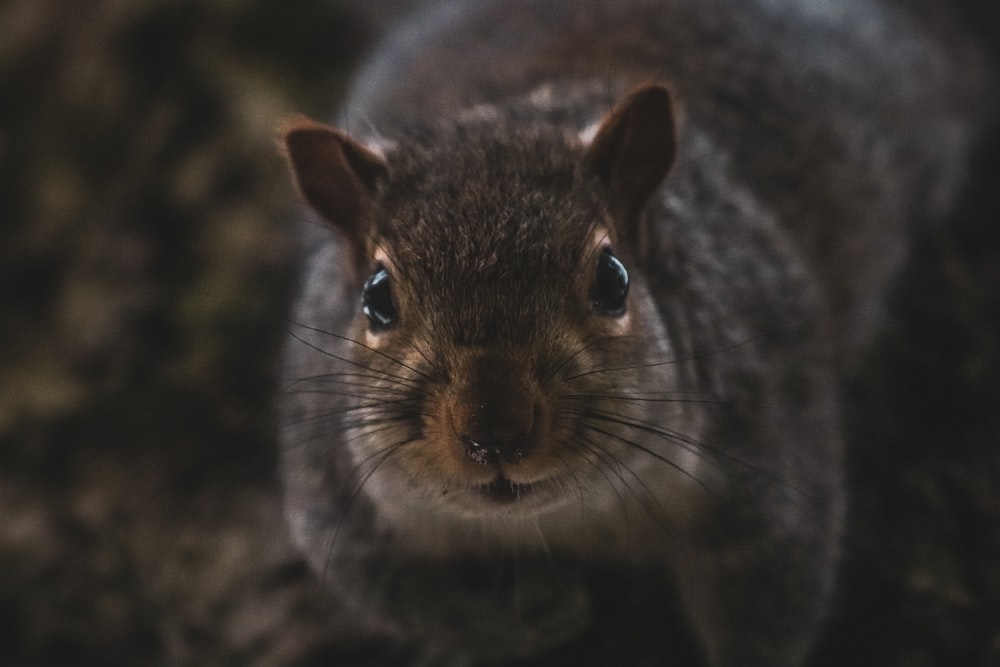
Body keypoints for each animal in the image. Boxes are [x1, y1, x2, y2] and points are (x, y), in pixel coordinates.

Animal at [278, 1, 988, 667]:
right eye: (376, 298)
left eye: (613, 279)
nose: (494, 431)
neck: (569, 516)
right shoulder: (333, 483)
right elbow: (389, 588)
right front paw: (520, 619)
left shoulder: (768, 433)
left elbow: (774, 590)